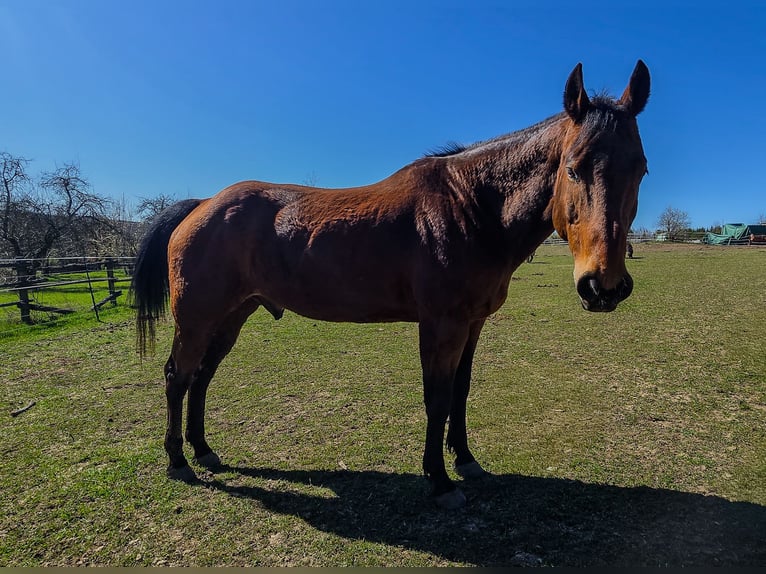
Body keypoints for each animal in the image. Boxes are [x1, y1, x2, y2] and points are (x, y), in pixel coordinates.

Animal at [130, 60, 650, 509]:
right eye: (573, 166)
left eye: (641, 168)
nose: (603, 286)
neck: (471, 207)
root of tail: (203, 204)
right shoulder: (440, 326)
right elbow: (437, 398)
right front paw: (439, 480)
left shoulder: (473, 324)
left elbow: (460, 391)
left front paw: (465, 461)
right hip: (197, 320)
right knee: (178, 377)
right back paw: (178, 461)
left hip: (232, 316)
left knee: (201, 378)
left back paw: (203, 450)